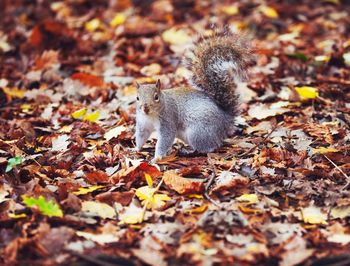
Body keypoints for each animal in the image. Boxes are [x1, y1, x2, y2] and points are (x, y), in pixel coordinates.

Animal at [135, 28, 253, 162]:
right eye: (137, 98)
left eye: (156, 97)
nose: (145, 108)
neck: (151, 115)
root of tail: (225, 119)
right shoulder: (142, 123)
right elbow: (141, 135)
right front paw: (136, 148)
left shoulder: (168, 119)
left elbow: (165, 138)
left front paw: (157, 157)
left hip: (198, 132)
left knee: (209, 147)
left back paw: (189, 151)